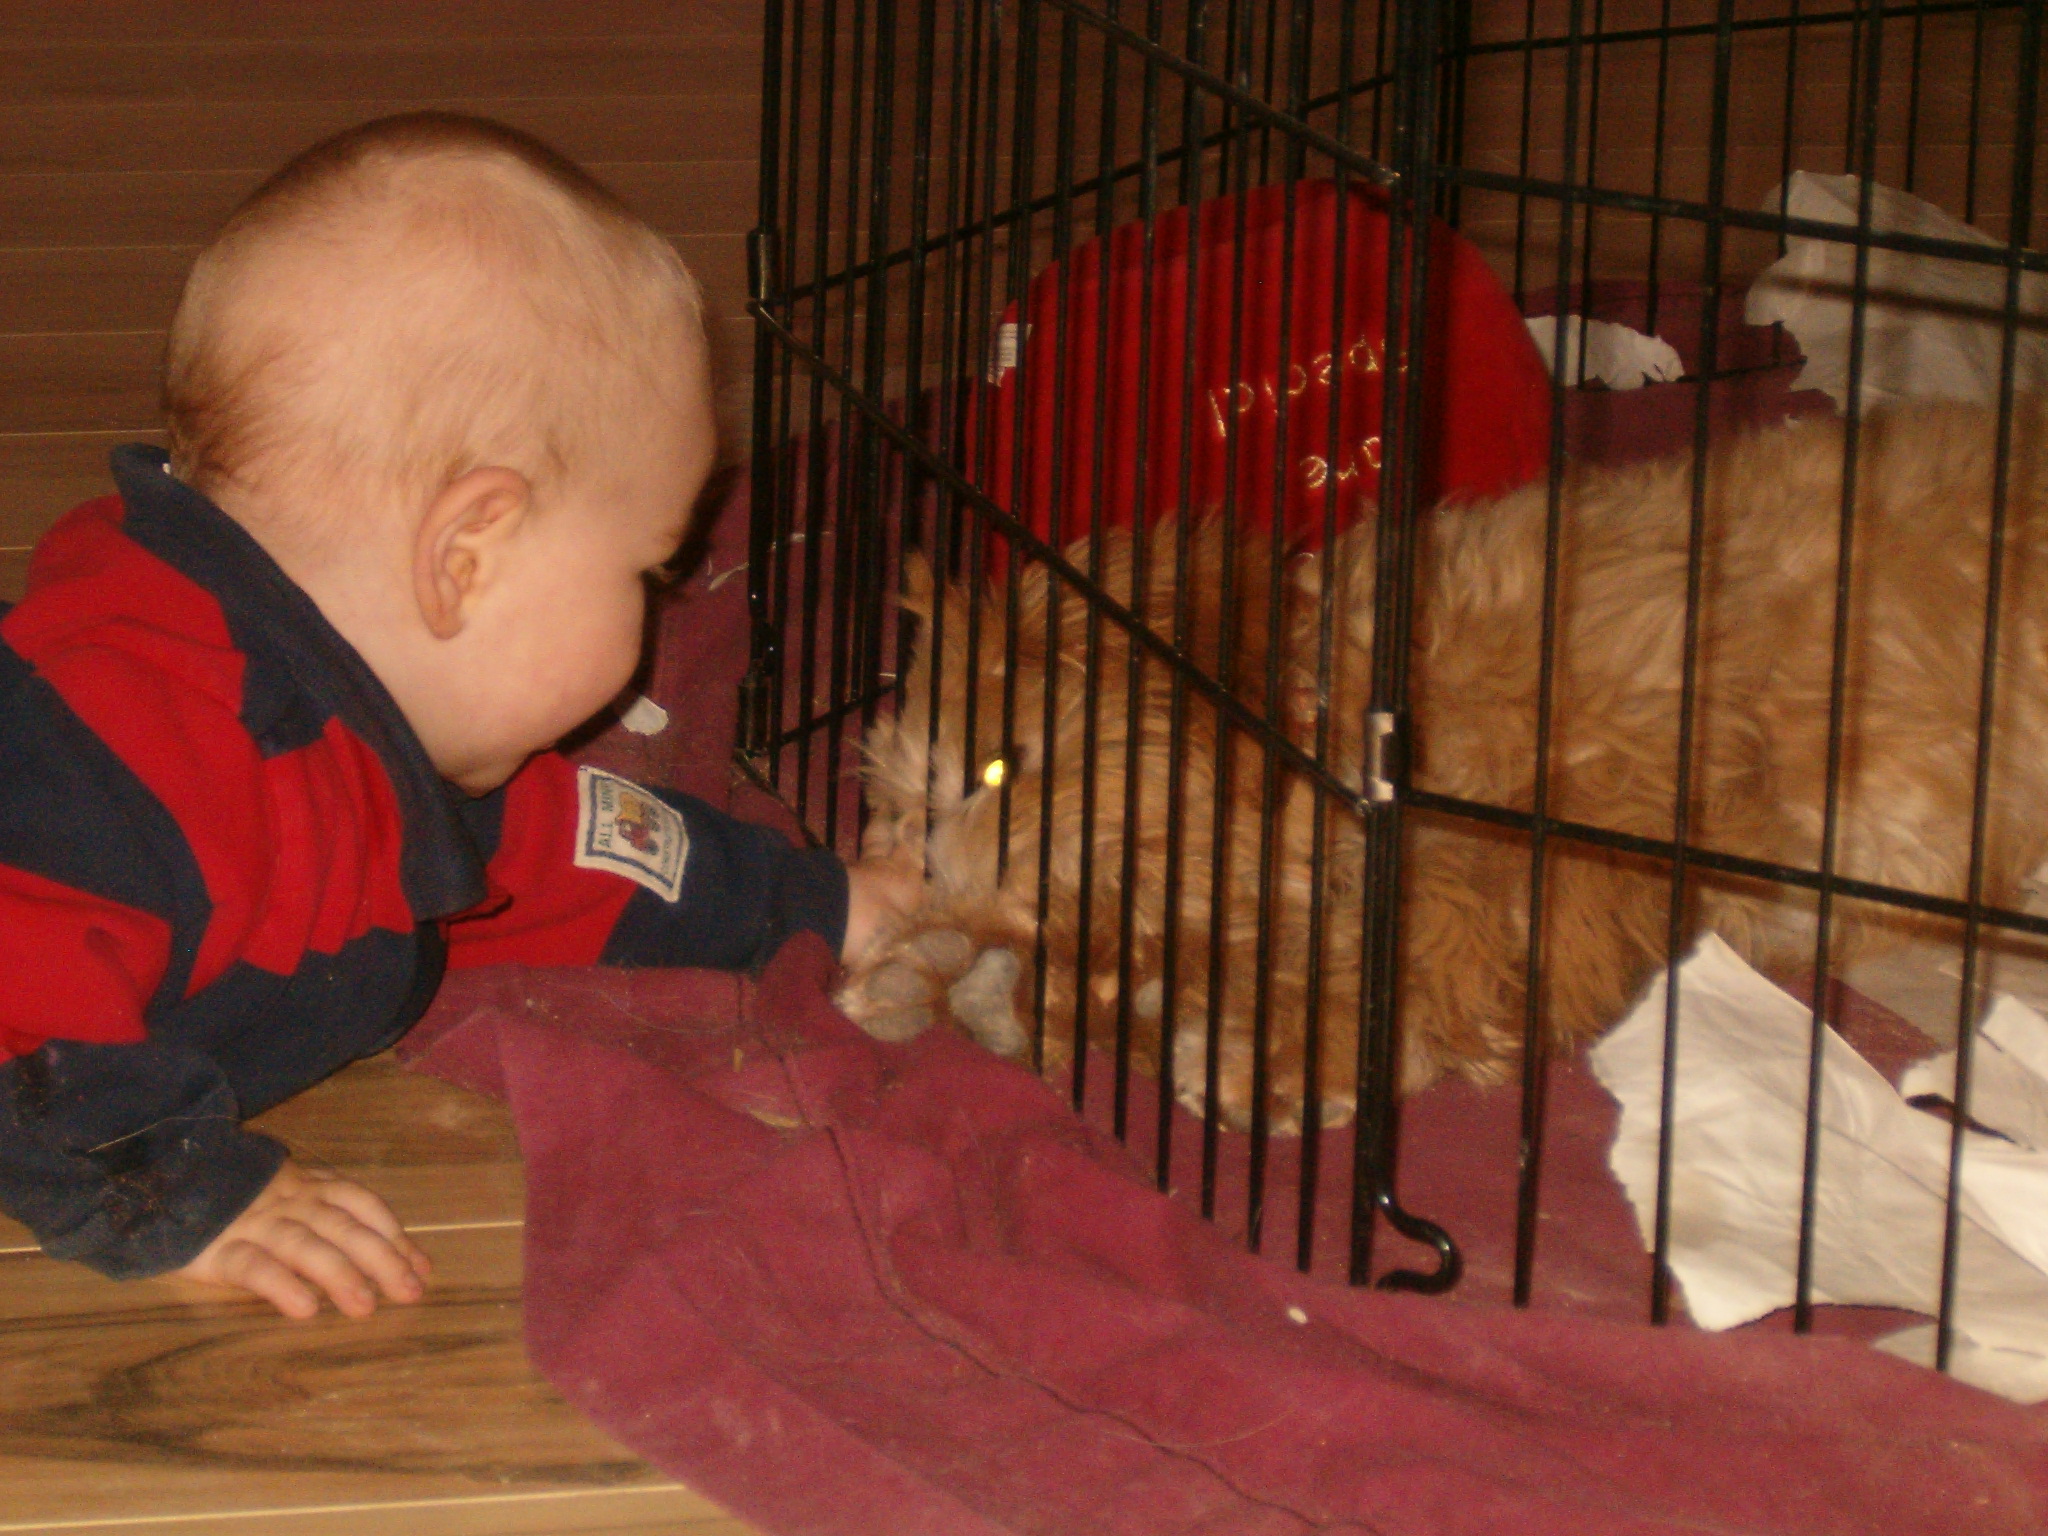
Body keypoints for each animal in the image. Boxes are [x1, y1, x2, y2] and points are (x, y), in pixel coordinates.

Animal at [837, 401, 2048, 1132]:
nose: (917, 877)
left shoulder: (1597, 807)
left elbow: (1443, 940)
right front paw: (949, 975)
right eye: (894, 811)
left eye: (1001, 767)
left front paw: (1279, 1052)